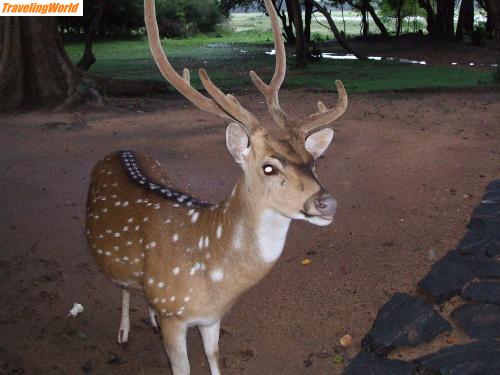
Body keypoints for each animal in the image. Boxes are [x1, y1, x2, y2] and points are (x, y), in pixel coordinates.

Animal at [85, 0, 348, 374]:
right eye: (269, 167)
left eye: (314, 162)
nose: (327, 203)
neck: (213, 278)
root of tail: (118, 150)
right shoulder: (175, 313)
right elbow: (182, 368)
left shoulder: (211, 319)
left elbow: (213, 356)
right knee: (122, 287)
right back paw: (122, 332)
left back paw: (148, 318)